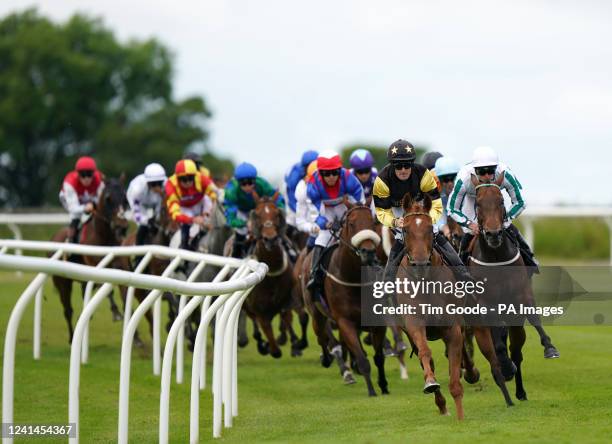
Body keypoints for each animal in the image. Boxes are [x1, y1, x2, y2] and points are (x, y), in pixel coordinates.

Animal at [50, 178, 130, 344]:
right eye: (108, 198)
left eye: (125, 198)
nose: (122, 226)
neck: (104, 237)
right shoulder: (96, 267)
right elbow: (109, 291)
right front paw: (116, 312)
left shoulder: (120, 268)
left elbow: (124, 296)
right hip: (62, 283)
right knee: (67, 310)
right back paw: (72, 337)